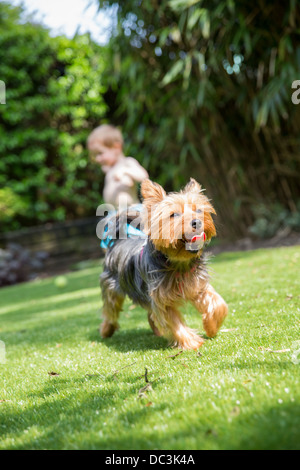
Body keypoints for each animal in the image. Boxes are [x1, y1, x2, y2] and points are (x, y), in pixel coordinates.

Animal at [98, 178, 227, 350]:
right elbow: (174, 322)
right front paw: (192, 342)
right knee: (110, 310)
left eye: (198, 210)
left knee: (148, 312)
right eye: (174, 215)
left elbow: (219, 304)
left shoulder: (197, 285)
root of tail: (118, 240)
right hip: (112, 286)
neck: (179, 262)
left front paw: (211, 327)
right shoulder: (161, 299)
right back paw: (106, 330)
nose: (197, 222)